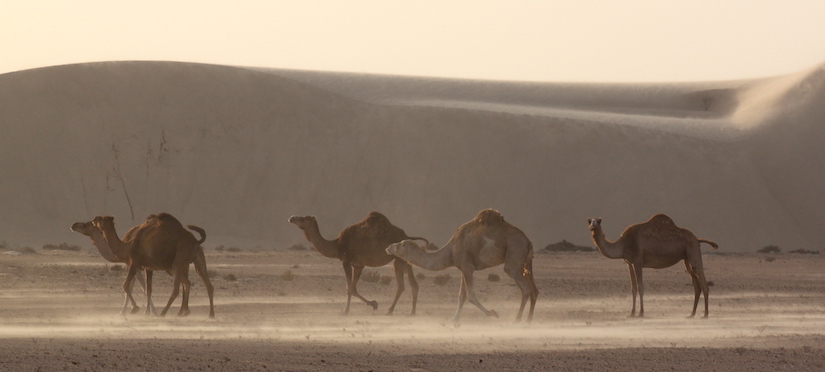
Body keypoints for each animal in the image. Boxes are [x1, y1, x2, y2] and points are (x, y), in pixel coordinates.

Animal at [288, 212, 418, 314]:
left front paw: (346, 311)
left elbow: (350, 288)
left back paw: (402, 311)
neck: (337, 245)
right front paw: (373, 303)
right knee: (408, 284)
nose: (291, 218)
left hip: (400, 259)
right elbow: (353, 288)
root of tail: (406, 235)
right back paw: (401, 311)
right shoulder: (358, 265)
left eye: (303, 218)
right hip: (401, 260)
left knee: (406, 284)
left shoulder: (346, 262)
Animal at [384, 209, 536, 322]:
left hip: (514, 255)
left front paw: (492, 313)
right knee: (534, 290)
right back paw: (529, 320)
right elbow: (461, 295)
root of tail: (527, 240)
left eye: (402, 244)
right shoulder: (462, 268)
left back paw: (517, 319)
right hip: (526, 263)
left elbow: (470, 296)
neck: (451, 251)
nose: (389, 248)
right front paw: (454, 320)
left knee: (525, 288)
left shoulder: (468, 267)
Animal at [588, 214, 716, 318]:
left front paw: (641, 313)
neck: (623, 244)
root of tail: (697, 239)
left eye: (598, 221)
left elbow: (640, 287)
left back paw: (705, 314)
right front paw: (631, 313)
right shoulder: (629, 264)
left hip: (693, 250)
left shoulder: (638, 262)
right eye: (589, 221)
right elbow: (633, 288)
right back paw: (691, 314)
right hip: (686, 258)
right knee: (696, 285)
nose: (593, 226)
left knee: (703, 282)